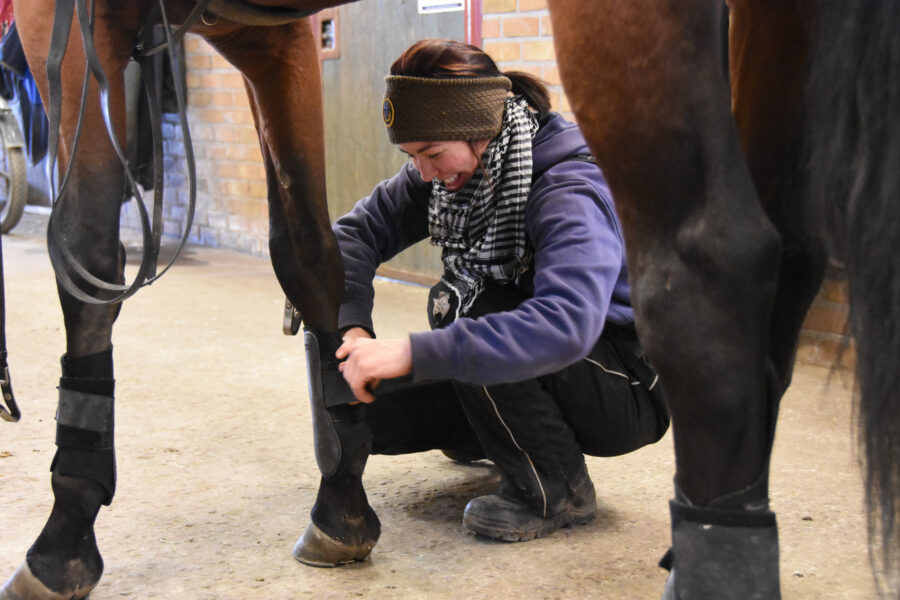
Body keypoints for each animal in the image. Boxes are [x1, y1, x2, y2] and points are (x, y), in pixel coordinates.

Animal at [0, 2, 376, 596]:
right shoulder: (273, 40)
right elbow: (307, 250)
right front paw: (343, 507)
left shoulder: (71, 30)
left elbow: (86, 254)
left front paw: (63, 542)